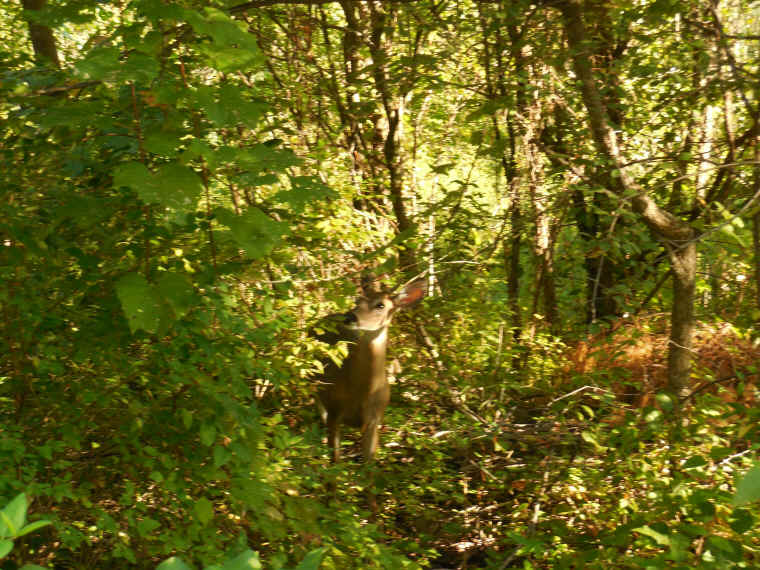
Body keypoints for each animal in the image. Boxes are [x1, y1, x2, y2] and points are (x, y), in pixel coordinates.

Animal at [313, 277, 427, 465]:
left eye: (380, 305)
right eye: (357, 300)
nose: (349, 317)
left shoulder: (374, 420)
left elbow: (369, 466)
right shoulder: (335, 411)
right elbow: (335, 462)